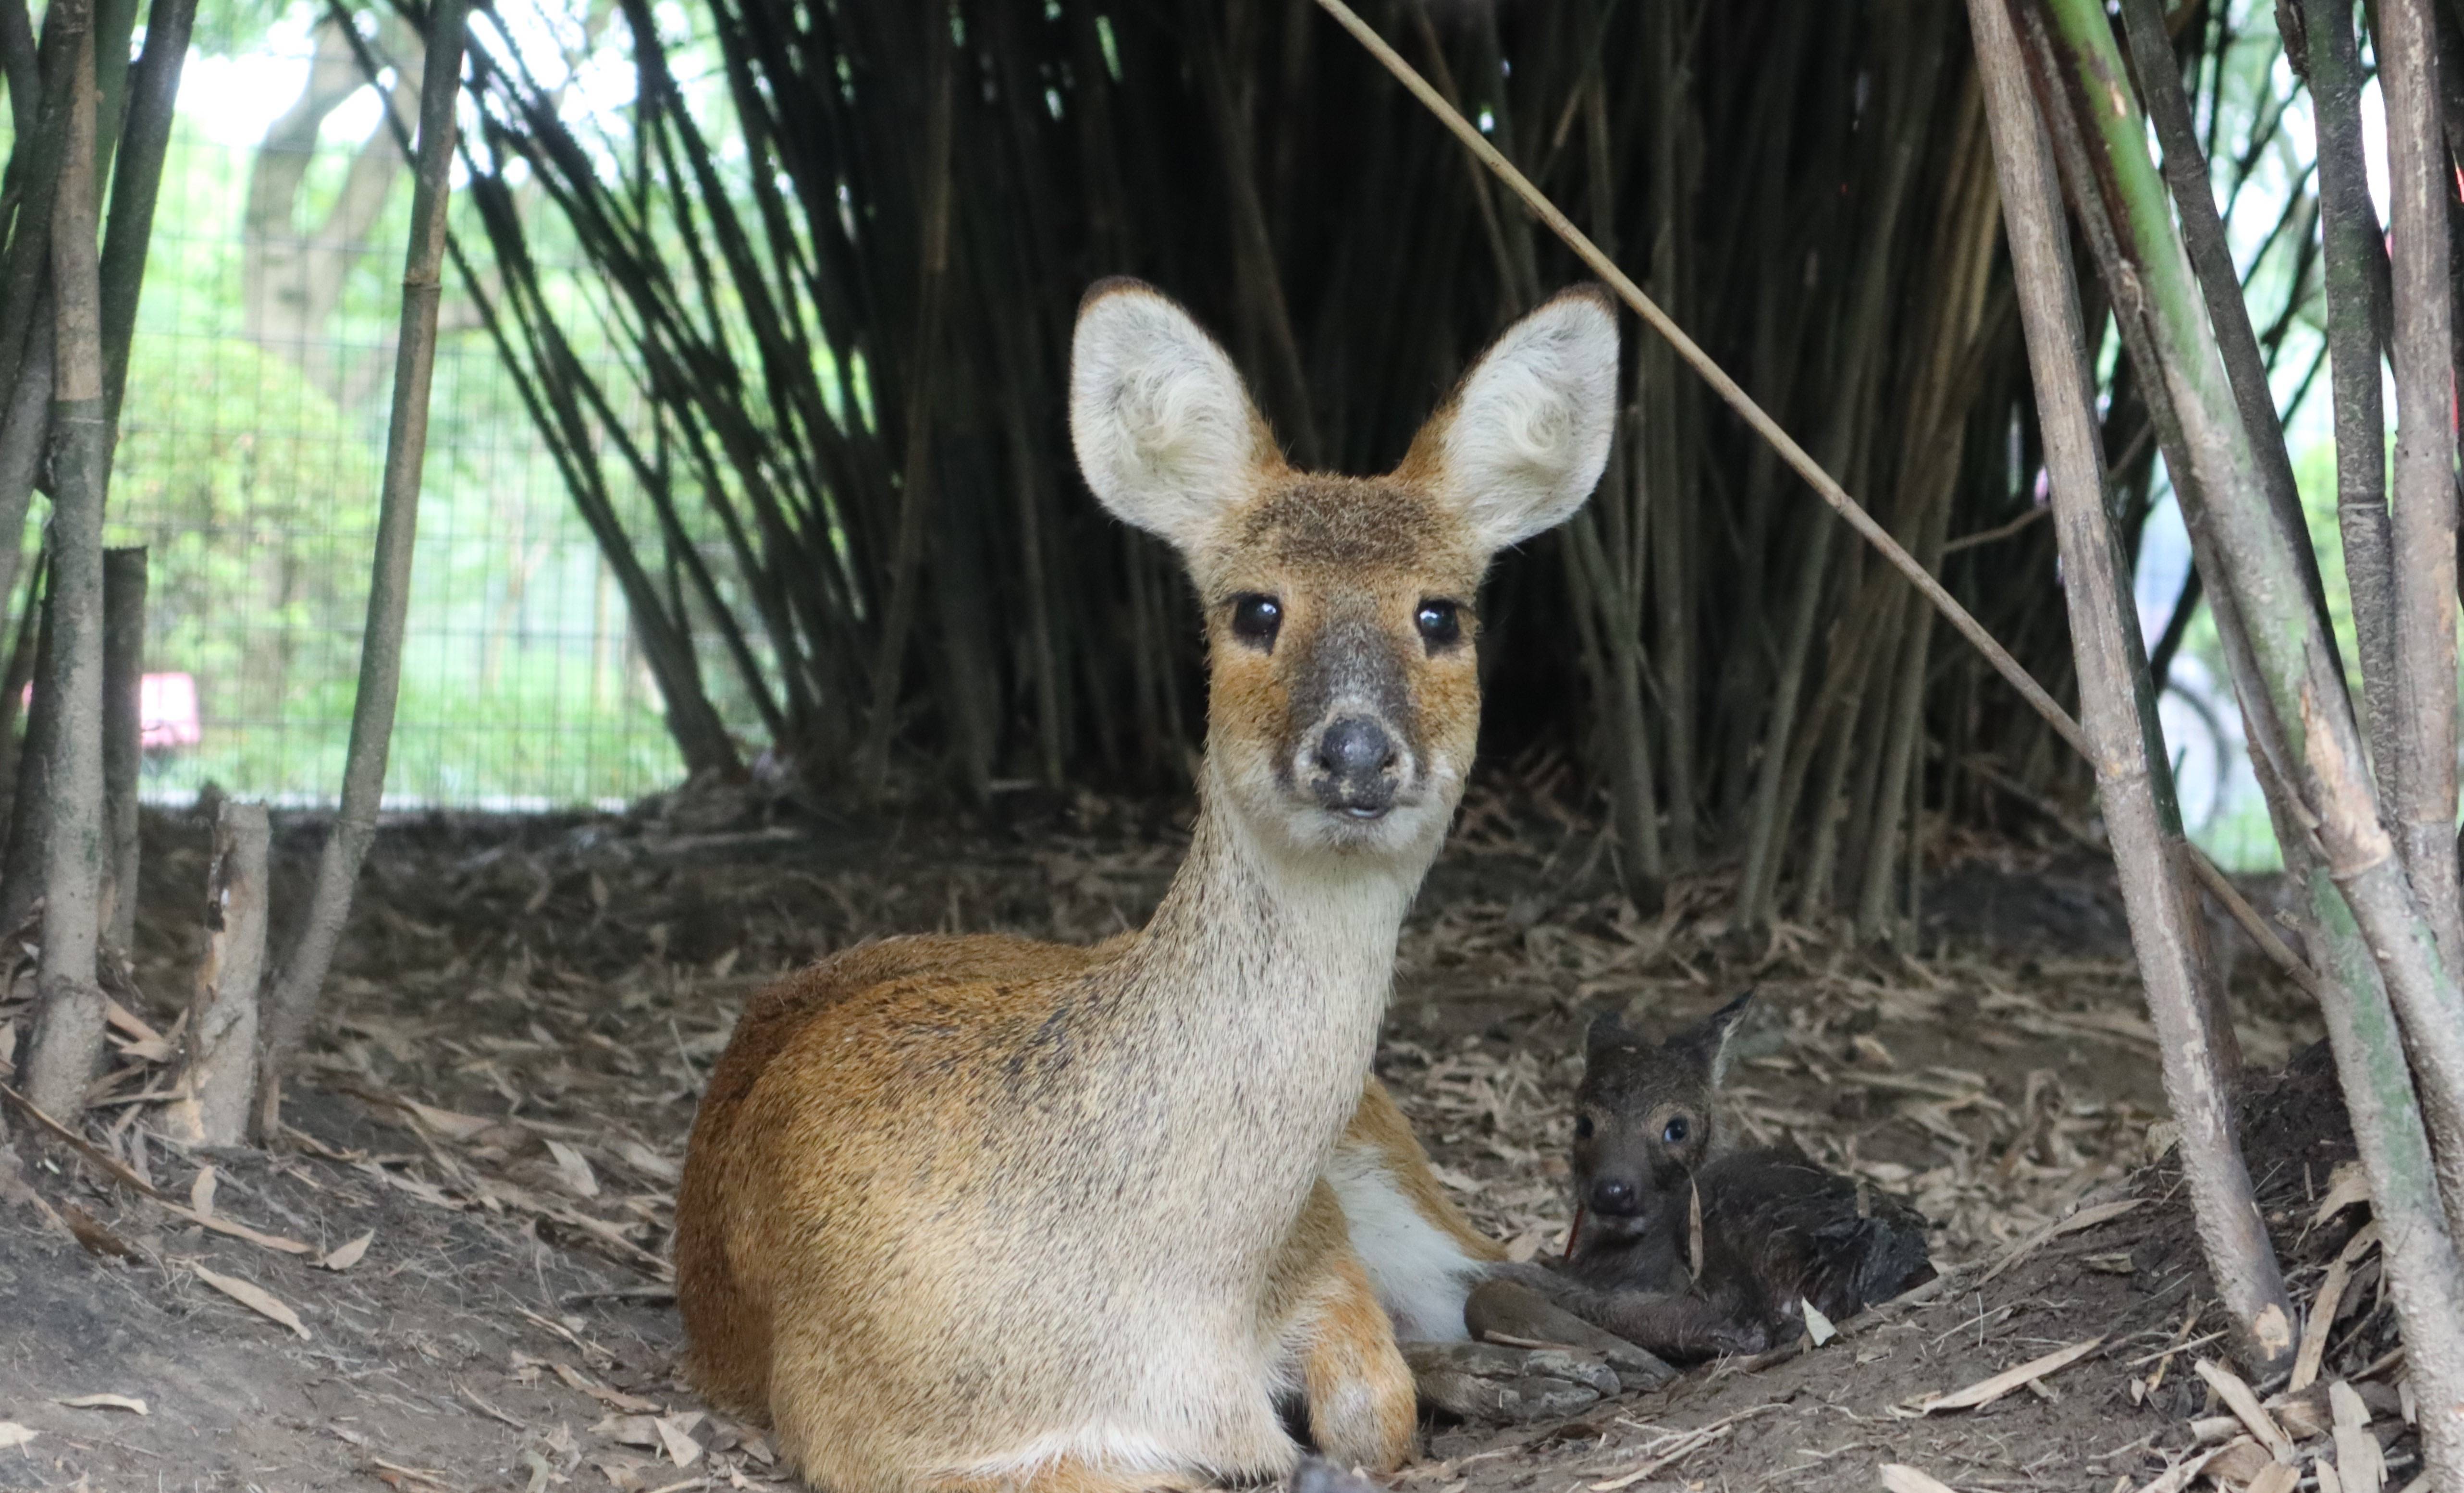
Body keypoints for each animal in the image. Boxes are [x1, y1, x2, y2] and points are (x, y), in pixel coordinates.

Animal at [675, 281, 1626, 1493]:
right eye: (1253, 609)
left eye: (1440, 613)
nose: (1356, 751)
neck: (1165, 1296)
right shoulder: (853, 1417)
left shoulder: (1322, 1241)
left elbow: (1378, 1403)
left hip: (1382, 1149)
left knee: (1498, 1269)